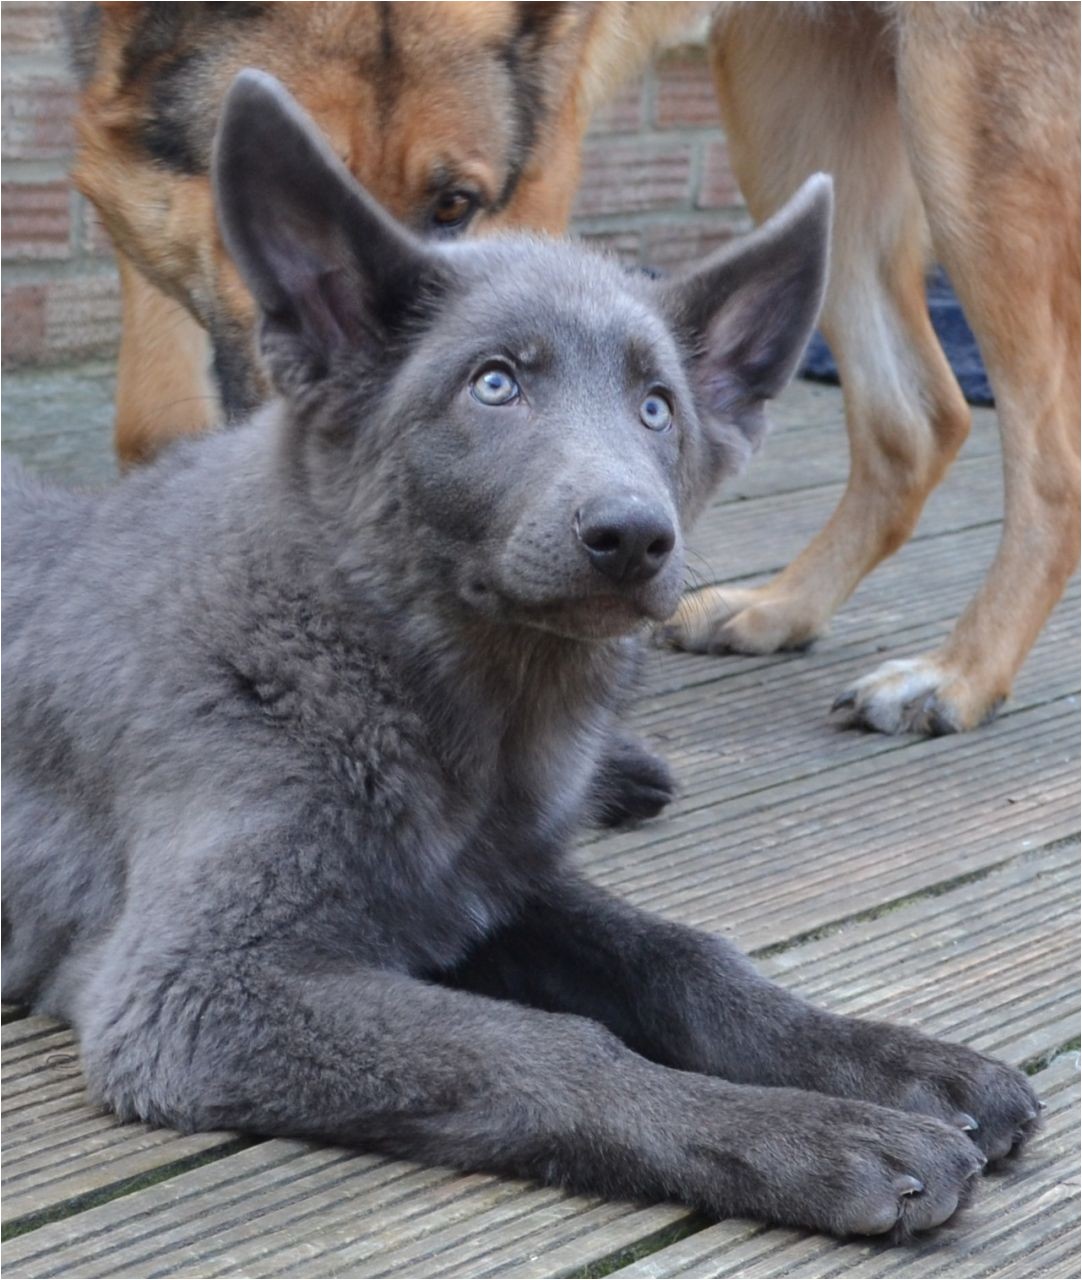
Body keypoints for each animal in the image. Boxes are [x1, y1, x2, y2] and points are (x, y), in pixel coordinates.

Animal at [0, 70, 1034, 1239]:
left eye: (656, 407)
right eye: (493, 385)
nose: (633, 536)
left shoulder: (490, 887)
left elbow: (687, 958)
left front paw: (895, 1062)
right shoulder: (194, 991)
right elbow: (550, 1047)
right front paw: (818, 1137)